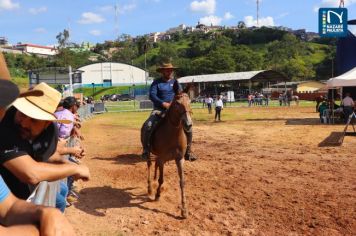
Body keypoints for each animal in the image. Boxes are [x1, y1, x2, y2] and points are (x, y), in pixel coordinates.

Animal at [141, 89, 192, 219]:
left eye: (190, 101)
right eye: (177, 103)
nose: (188, 124)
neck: (172, 134)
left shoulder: (179, 159)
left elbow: (182, 182)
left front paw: (184, 210)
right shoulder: (162, 158)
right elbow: (161, 179)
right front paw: (157, 195)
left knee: (155, 166)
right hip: (149, 153)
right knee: (149, 165)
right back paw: (150, 189)